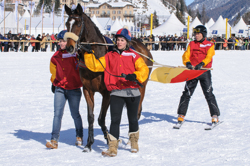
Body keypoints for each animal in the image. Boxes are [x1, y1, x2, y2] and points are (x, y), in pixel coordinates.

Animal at [64, 3, 152, 152]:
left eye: (78, 23)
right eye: (66, 23)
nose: (70, 47)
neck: (96, 57)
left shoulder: (107, 93)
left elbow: (101, 118)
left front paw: (107, 138)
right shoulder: (87, 90)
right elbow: (91, 117)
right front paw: (89, 144)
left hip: (142, 87)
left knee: (136, 112)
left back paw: (130, 141)